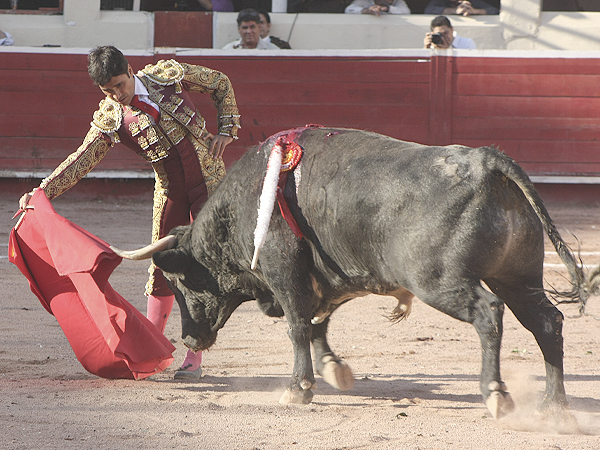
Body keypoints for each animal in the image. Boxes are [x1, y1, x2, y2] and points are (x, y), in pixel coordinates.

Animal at [112, 126, 596, 418]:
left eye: (180, 282)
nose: (190, 339)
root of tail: (486, 161)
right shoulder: (327, 279)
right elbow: (316, 323)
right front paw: (334, 370)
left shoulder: (284, 270)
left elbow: (297, 326)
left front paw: (298, 388)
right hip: (518, 278)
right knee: (548, 322)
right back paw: (555, 406)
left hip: (440, 281)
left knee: (489, 314)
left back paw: (495, 394)